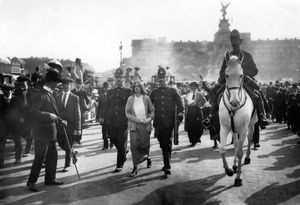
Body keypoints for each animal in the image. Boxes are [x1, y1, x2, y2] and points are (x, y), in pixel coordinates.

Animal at [218, 55, 258, 186]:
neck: (233, 108)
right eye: (226, 75)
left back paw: (247, 158)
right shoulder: (225, 127)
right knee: (235, 143)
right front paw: (229, 170)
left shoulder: (243, 127)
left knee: (250, 138)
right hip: (234, 129)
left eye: (241, 75)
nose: (235, 101)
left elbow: (240, 151)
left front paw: (238, 178)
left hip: (251, 124)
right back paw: (235, 165)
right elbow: (222, 149)